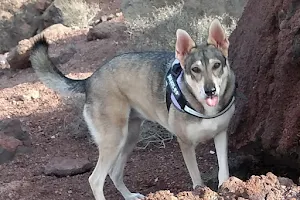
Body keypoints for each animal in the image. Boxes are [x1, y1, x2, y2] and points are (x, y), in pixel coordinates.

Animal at [30, 19, 237, 200]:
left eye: (217, 65)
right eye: (195, 70)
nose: (210, 90)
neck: (204, 108)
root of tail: (89, 80)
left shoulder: (221, 134)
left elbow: (224, 171)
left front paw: (226, 189)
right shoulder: (185, 144)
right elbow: (197, 179)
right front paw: (202, 192)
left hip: (130, 136)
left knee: (114, 173)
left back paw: (129, 196)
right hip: (114, 139)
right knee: (95, 179)